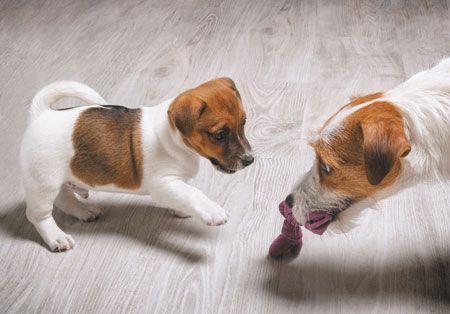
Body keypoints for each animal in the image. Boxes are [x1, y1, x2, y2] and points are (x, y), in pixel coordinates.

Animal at [21, 77, 253, 251]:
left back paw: (84, 211)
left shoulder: (176, 181)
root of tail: (42, 114)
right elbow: (192, 193)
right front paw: (212, 210)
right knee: (38, 215)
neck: (172, 136)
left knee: (64, 198)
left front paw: (181, 209)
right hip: (44, 182)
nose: (250, 160)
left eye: (243, 123)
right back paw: (56, 237)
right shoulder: (163, 182)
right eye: (220, 135)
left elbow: (184, 193)